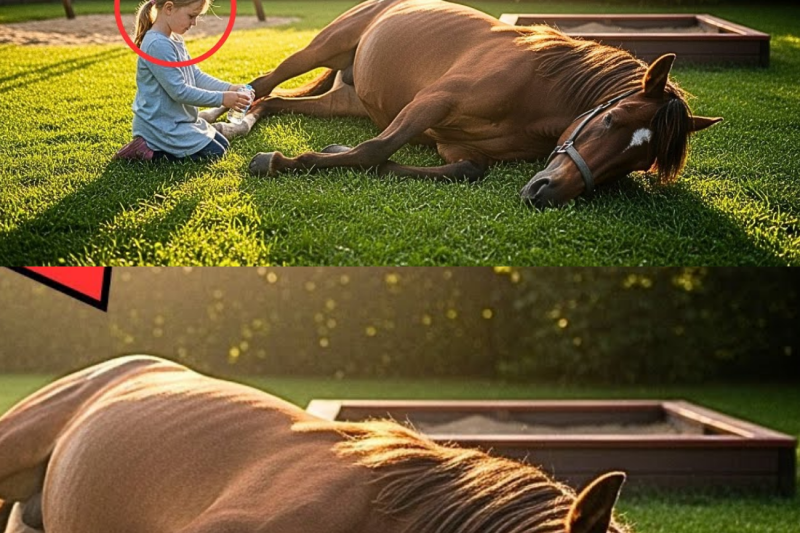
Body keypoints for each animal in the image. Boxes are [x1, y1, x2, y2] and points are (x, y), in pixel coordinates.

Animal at [209, 0, 721, 207]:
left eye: (639, 162)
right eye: (611, 118)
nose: (547, 193)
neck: (538, 89)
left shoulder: (457, 148)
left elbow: (464, 170)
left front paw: (331, 153)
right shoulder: (432, 101)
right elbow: (374, 150)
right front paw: (279, 162)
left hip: (347, 101)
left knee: (274, 101)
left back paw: (239, 123)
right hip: (324, 46)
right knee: (264, 81)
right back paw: (220, 118)